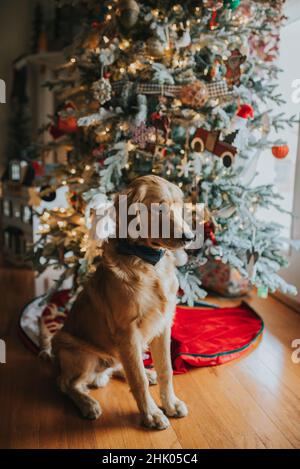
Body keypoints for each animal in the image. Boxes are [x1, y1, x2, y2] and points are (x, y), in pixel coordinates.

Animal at [51, 175, 195, 428]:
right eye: (158, 208)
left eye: (179, 206)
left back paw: (147, 373)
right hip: (81, 353)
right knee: (67, 383)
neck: (148, 263)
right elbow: (137, 379)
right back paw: (88, 403)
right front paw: (151, 414)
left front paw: (170, 404)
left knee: (121, 365)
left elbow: (166, 369)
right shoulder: (128, 331)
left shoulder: (162, 325)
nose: (189, 237)